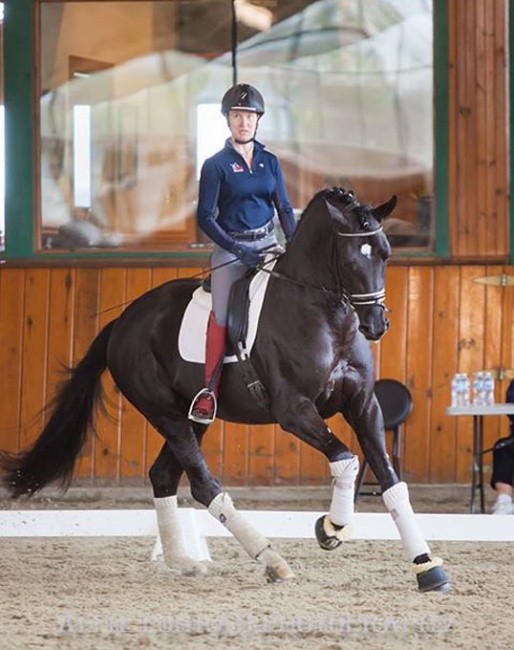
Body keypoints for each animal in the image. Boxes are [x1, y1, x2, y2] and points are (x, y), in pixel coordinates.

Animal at [0, 187, 448, 592]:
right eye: (354, 256)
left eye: (386, 253)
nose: (377, 324)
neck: (327, 317)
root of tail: (123, 322)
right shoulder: (294, 410)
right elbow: (346, 461)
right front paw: (332, 526)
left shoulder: (364, 405)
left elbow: (392, 483)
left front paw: (427, 568)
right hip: (165, 413)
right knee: (202, 484)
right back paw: (272, 560)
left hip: (194, 416)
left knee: (164, 475)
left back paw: (184, 562)